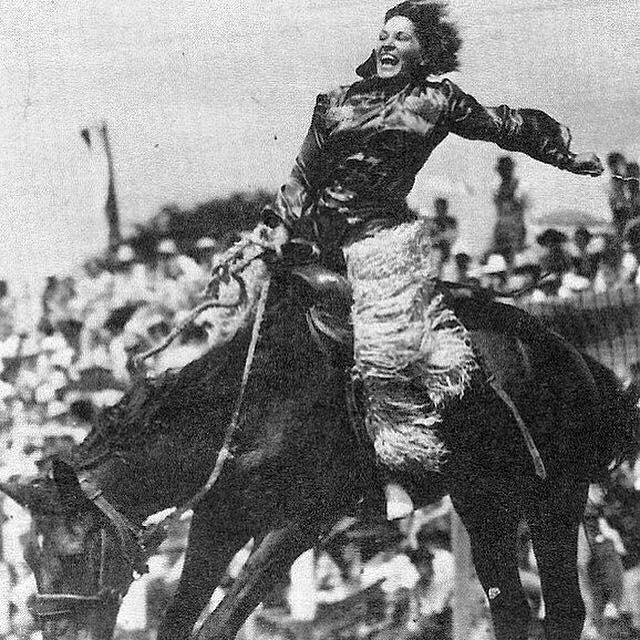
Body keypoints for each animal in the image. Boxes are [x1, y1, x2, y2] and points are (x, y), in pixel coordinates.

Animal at [1, 260, 640, 640]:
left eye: (75, 552)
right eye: (30, 557)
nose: (61, 633)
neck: (246, 414)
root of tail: (581, 363)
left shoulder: (300, 522)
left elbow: (220, 619)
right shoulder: (218, 520)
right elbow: (182, 618)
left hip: (556, 495)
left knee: (565, 608)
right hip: (484, 503)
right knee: (511, 607)